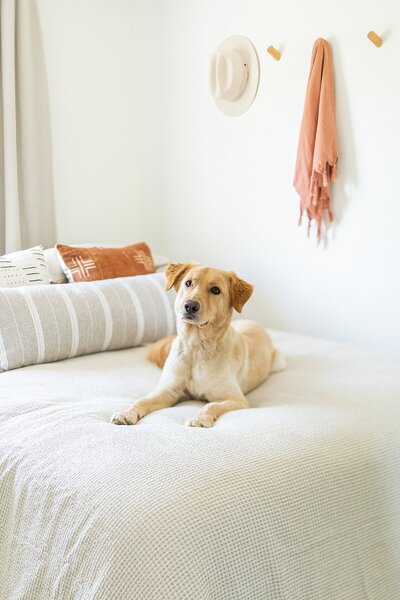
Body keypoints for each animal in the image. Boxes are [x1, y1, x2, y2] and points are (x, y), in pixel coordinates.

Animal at [111, 262, 282, 426]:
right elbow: (142, 400)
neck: (196, 347)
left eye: (215, 290)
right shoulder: (169, 390)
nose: (190, 306)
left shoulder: (236, 399)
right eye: (188, 283)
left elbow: (210, 405)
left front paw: (199, 418)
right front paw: (126, 413)